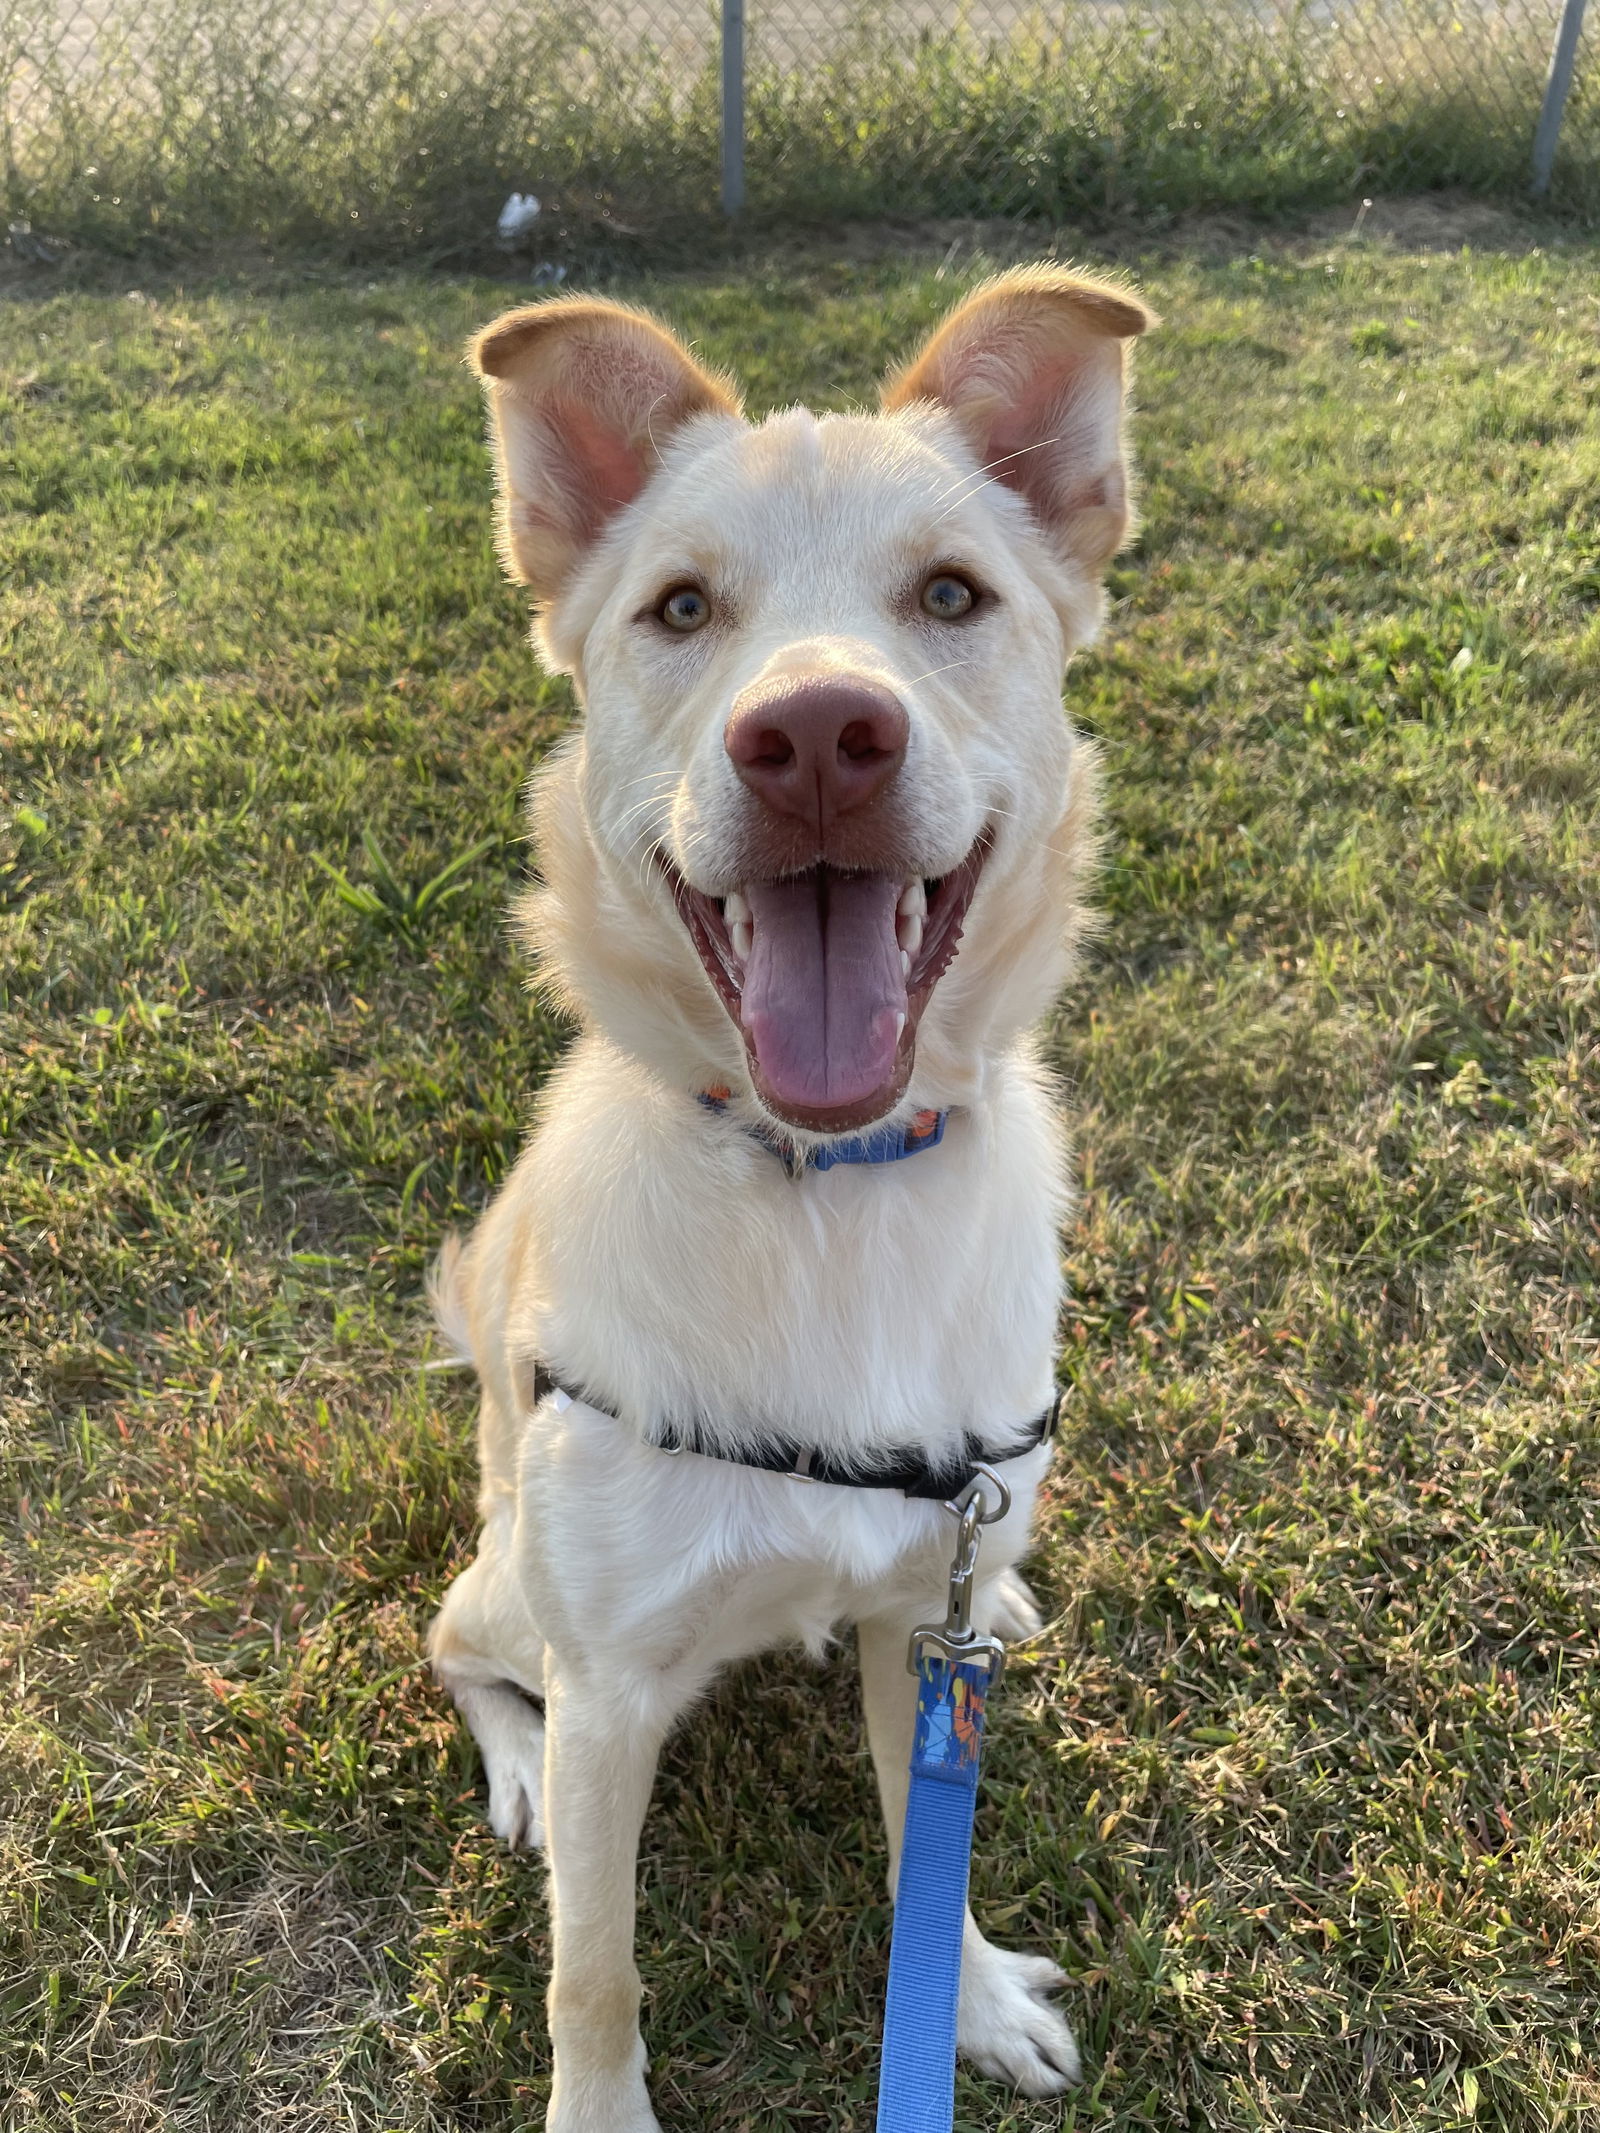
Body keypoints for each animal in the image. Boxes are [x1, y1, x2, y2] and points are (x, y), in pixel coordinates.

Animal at [426, 270, 1152, 2133]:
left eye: (951, 594)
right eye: (681, 608)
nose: (819, 735)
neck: (828, 1195)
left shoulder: (921, 1626)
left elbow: (926, 1847)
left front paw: (966, 2001)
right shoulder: (614, 1688)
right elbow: (591, 1969)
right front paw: (598, 2113)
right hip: (506, 1578)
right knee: (456, 1646)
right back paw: (509, 1764)